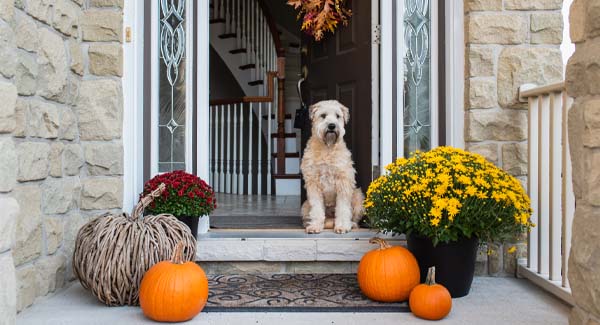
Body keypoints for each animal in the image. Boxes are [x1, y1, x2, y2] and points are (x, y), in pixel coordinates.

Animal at [300, 99, 366, 233]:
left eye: (337, 116)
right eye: (323, 115)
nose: (332, 125)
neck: (327, 148)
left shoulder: (343, 182)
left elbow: (343, 208)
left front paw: (342, 226)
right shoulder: (313, 183)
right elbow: (317, 208)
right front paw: (315, 226)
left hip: (358, 197)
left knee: (354, 218)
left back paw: (351, 224)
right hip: (304, 206)